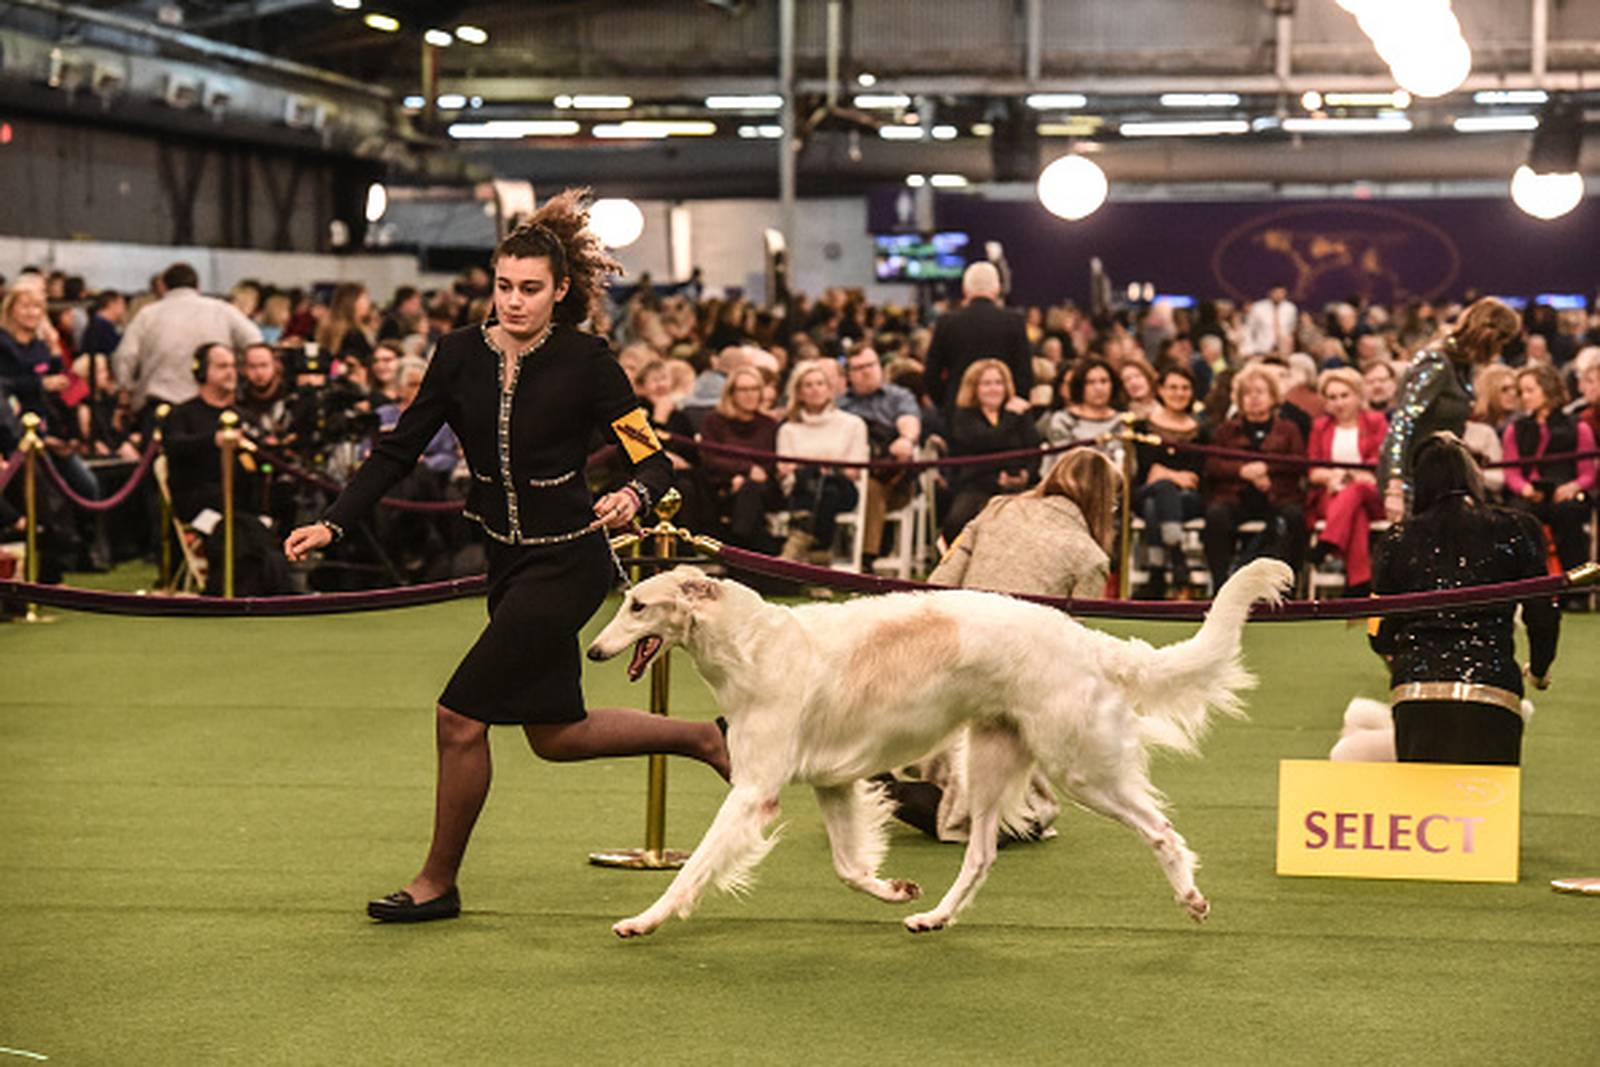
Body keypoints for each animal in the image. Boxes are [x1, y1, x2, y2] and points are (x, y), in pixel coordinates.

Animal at [582, 556, 1292, 940]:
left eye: (638, 604)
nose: (592, 652)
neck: (756, 644)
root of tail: (1087, 638)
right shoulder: (833, 783)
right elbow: (849, 868)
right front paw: (895, 889)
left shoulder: (755, 790)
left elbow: (695, 868)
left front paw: (643, 919)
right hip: (992, 761)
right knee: (980, 854)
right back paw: (934, 919)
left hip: (1080, 768)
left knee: (1161, 830)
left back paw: (1192, 899)